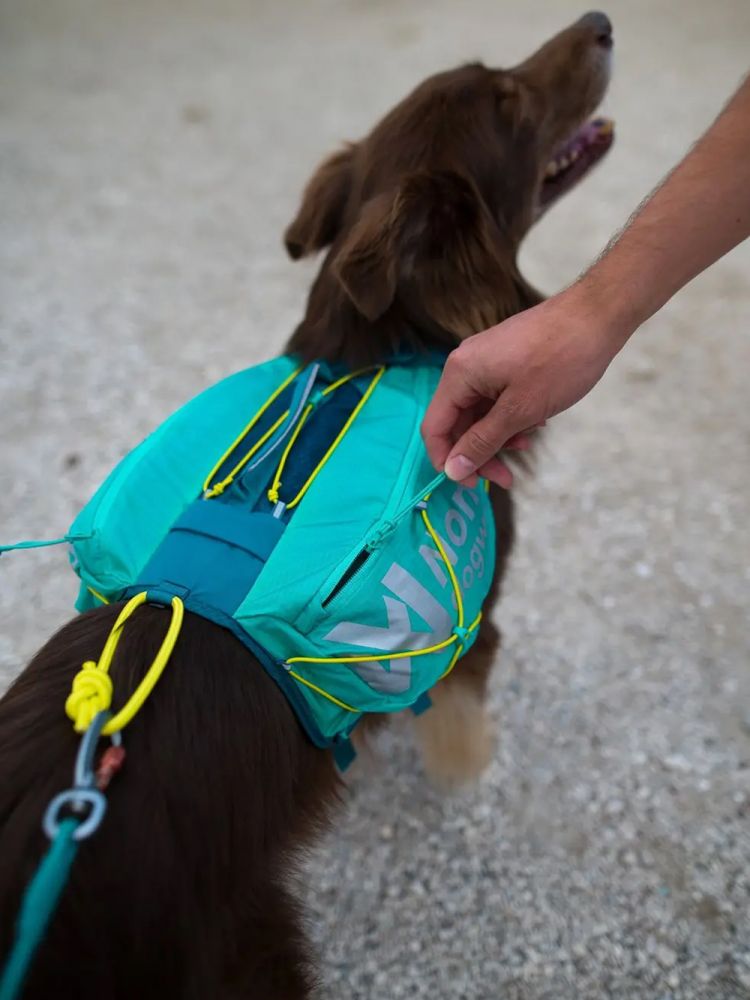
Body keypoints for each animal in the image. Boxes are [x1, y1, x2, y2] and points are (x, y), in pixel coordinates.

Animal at [0, 13, 613, 999]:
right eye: (512, 101)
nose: (600, 23)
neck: (379, 344)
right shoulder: (478, 615)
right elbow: (460, 715)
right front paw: (466, 768)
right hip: (260, 951)